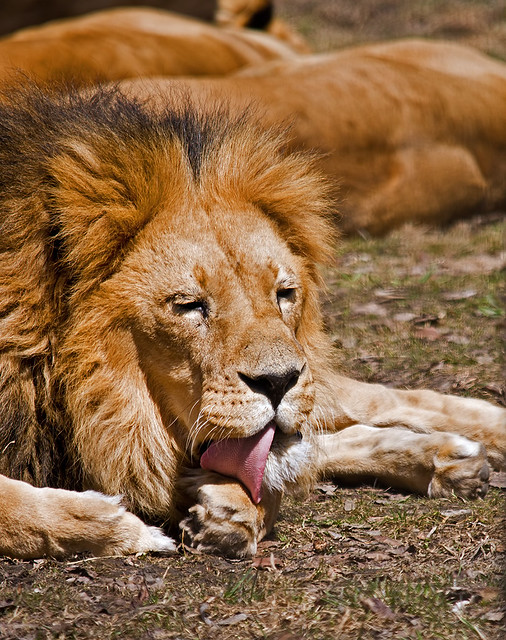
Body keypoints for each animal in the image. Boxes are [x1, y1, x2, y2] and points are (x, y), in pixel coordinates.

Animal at [0, 86, 504, 560]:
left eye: (284, 293)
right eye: (189, 305)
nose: (279, 381)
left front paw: (228, 506)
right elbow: (11, 507)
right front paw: (117, 525)